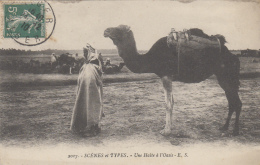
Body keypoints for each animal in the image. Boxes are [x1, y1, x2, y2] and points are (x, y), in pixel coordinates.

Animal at [103, 24, 242, 135]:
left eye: (119, 29)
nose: (106, 30)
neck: (151, 58)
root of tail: (234, 57)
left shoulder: (166, 76)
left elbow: (168, 104)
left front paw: (166, 130)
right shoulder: (167, 77)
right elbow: (172, 102)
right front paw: (169, 127)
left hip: (226, 76)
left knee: (237, 102)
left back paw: (235, 131)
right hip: (223, 78)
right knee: (232, 102)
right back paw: (224, 127)